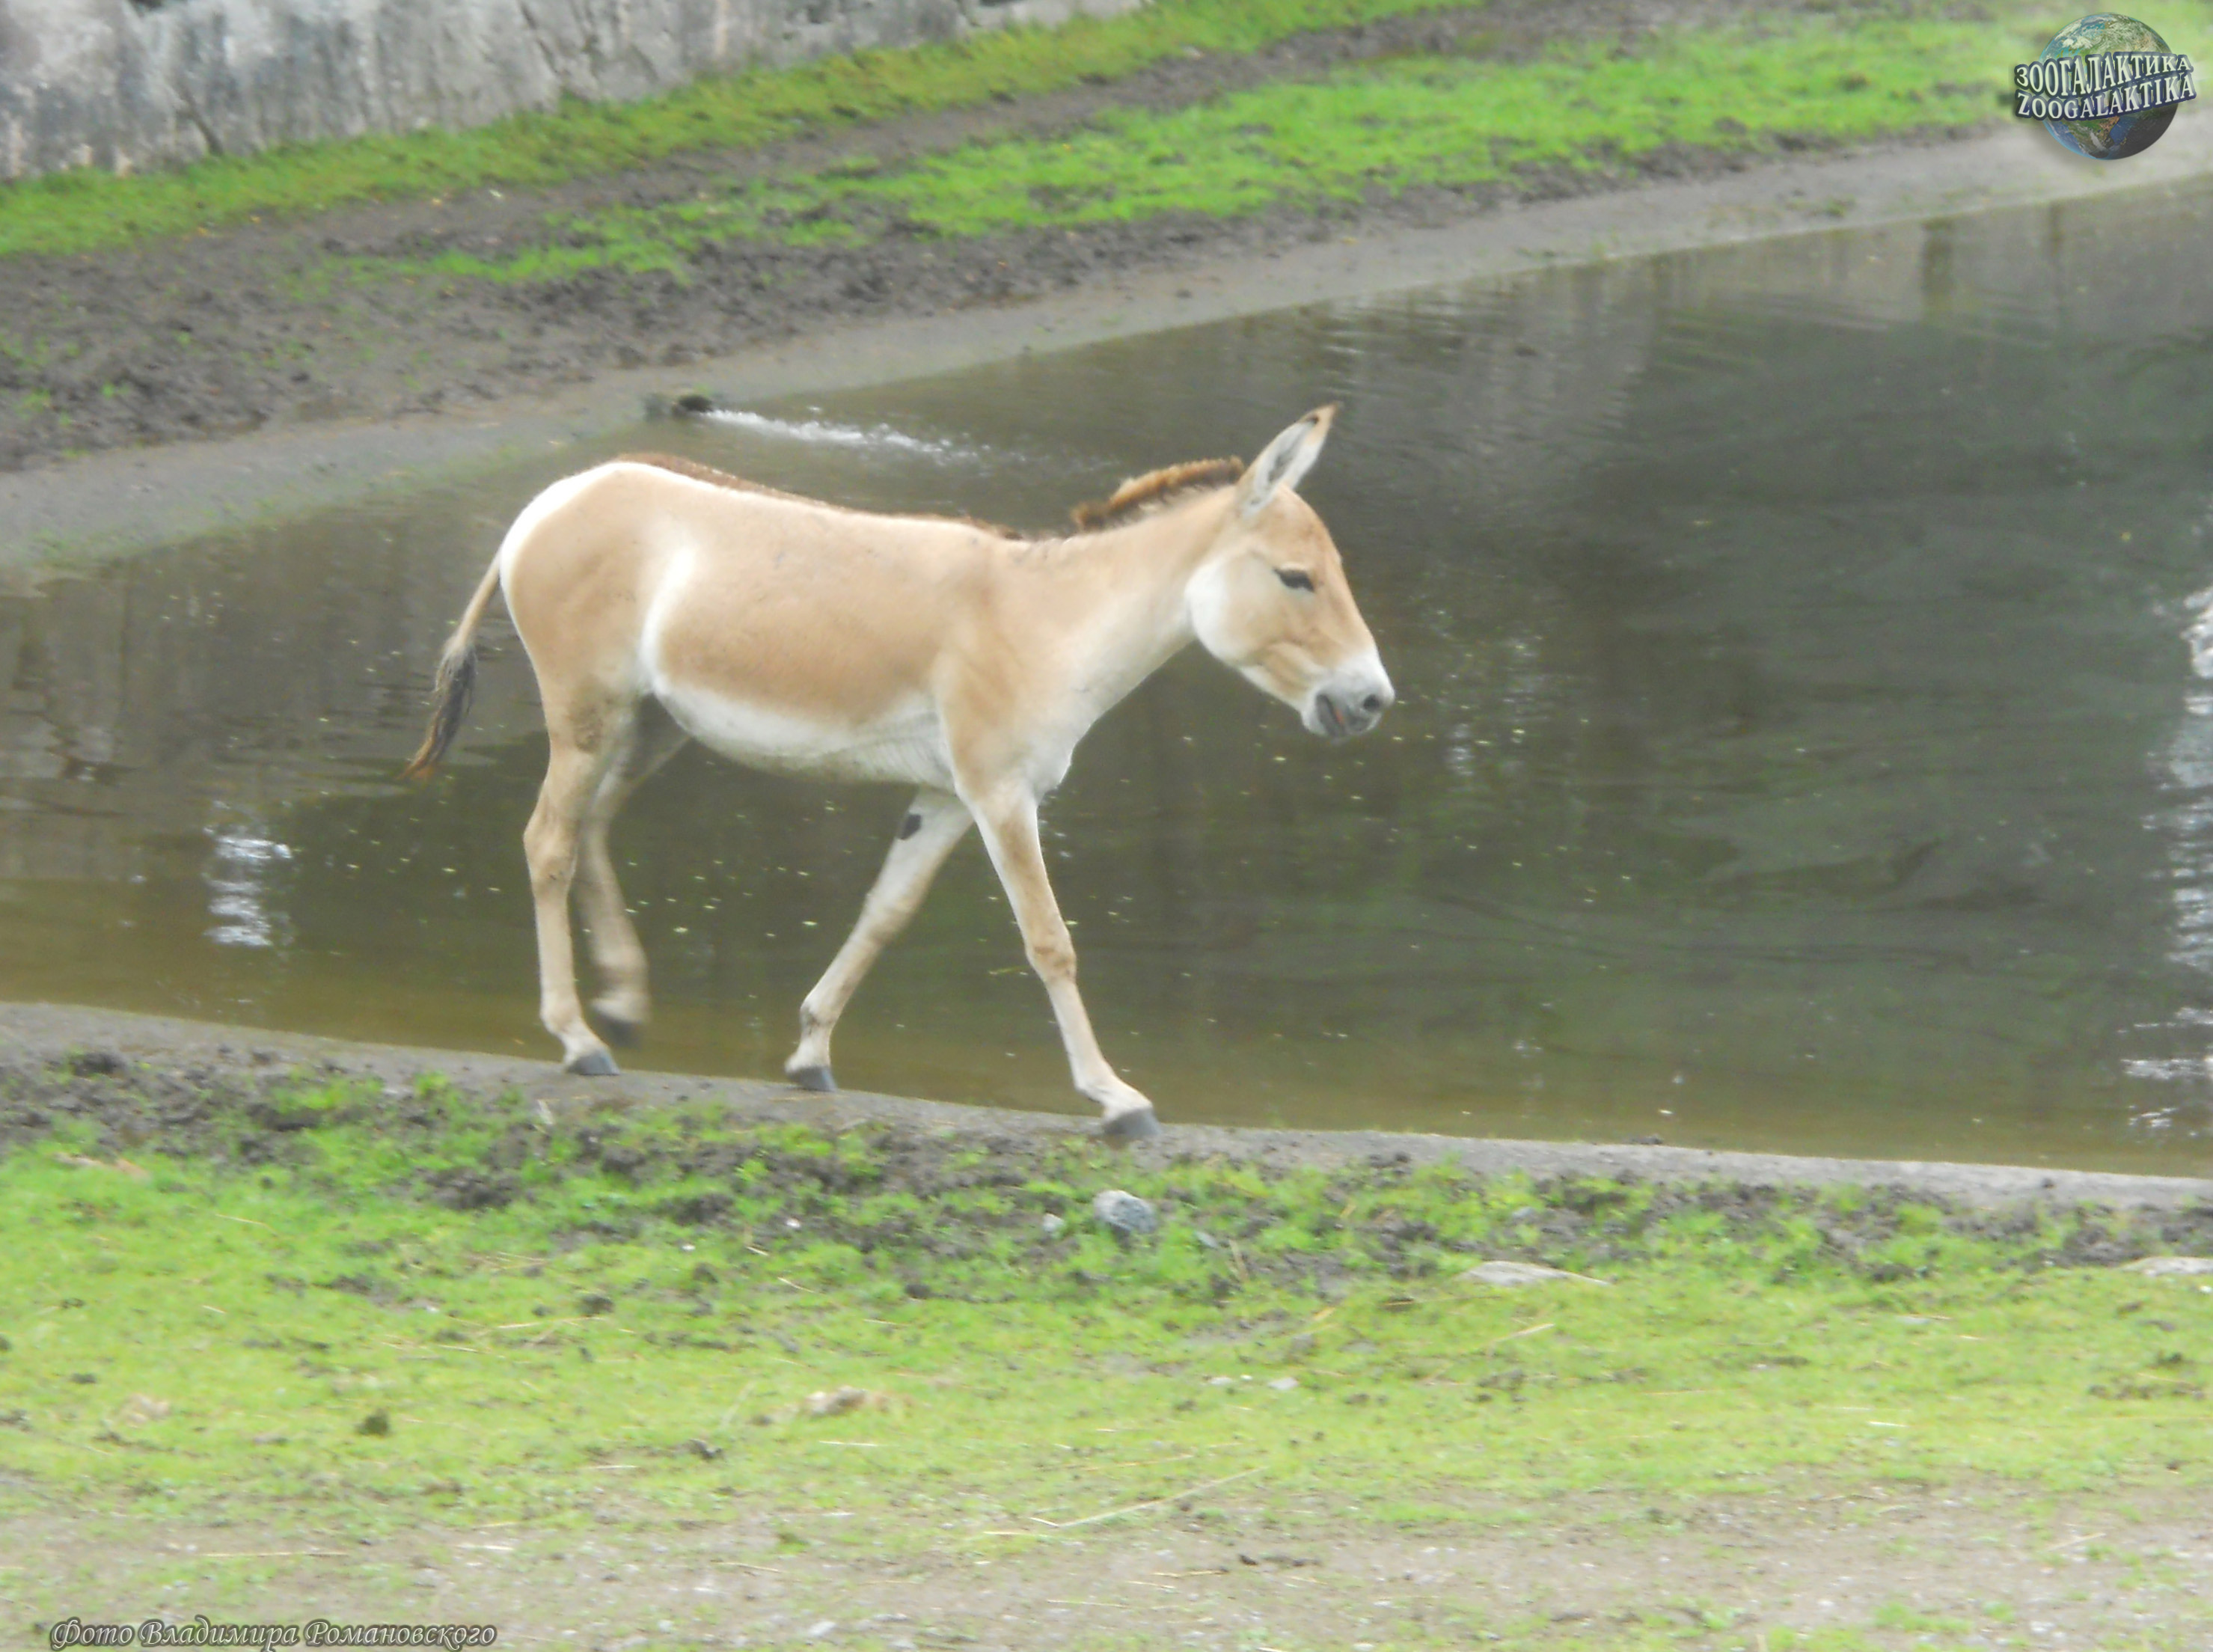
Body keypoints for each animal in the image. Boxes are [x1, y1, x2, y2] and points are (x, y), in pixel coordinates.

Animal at [403, 405, 1391, 1138]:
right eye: (1297, 578)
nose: (1374, 699)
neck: (1049, 618)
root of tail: (550, 499)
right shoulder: (1000, 793)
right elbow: (1049, 940)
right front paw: (1116, 1097)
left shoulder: (944, 797)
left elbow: (885, 915)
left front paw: (810, 1053)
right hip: (588, 712)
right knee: (548, 843)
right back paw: (576, 1038)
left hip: (651, 726)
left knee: (591, 827)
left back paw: (623, 1004)